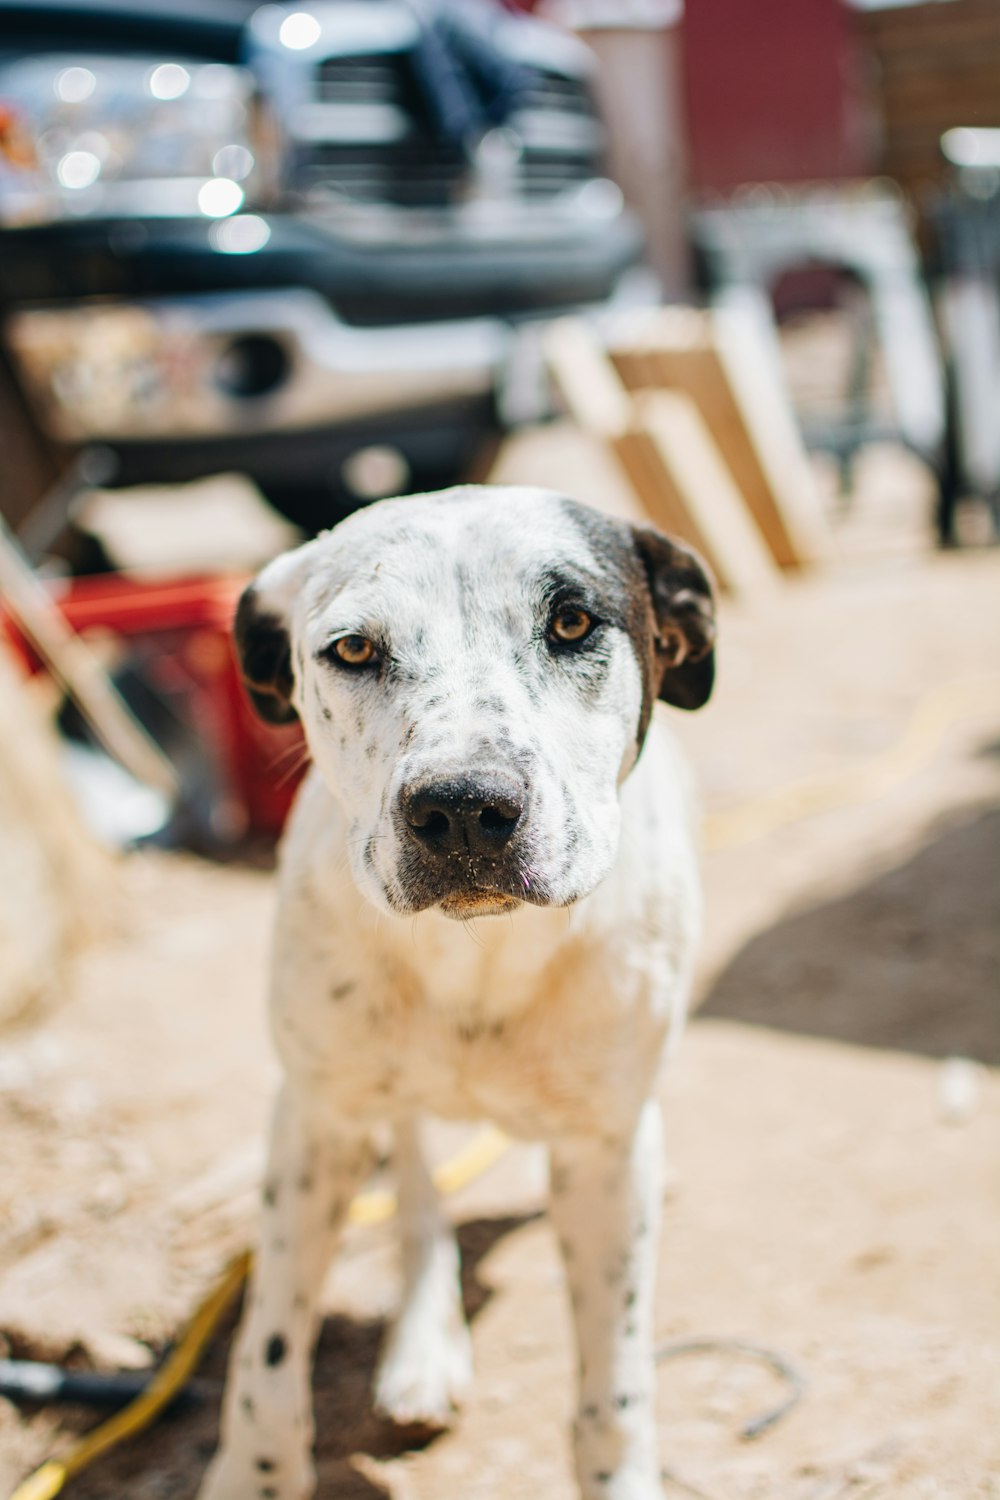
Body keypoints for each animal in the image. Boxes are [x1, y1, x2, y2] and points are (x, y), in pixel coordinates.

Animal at [199, 486, 716, 1494]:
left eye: (572, 622)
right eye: (353, 649)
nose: (465, 808)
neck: (478, 957)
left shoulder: (602, 1152)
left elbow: (615, 1387)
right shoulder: (315, 1122)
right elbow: (265, 1358)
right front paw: (255, 1472)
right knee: (413, 1175)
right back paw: (423, 1341)